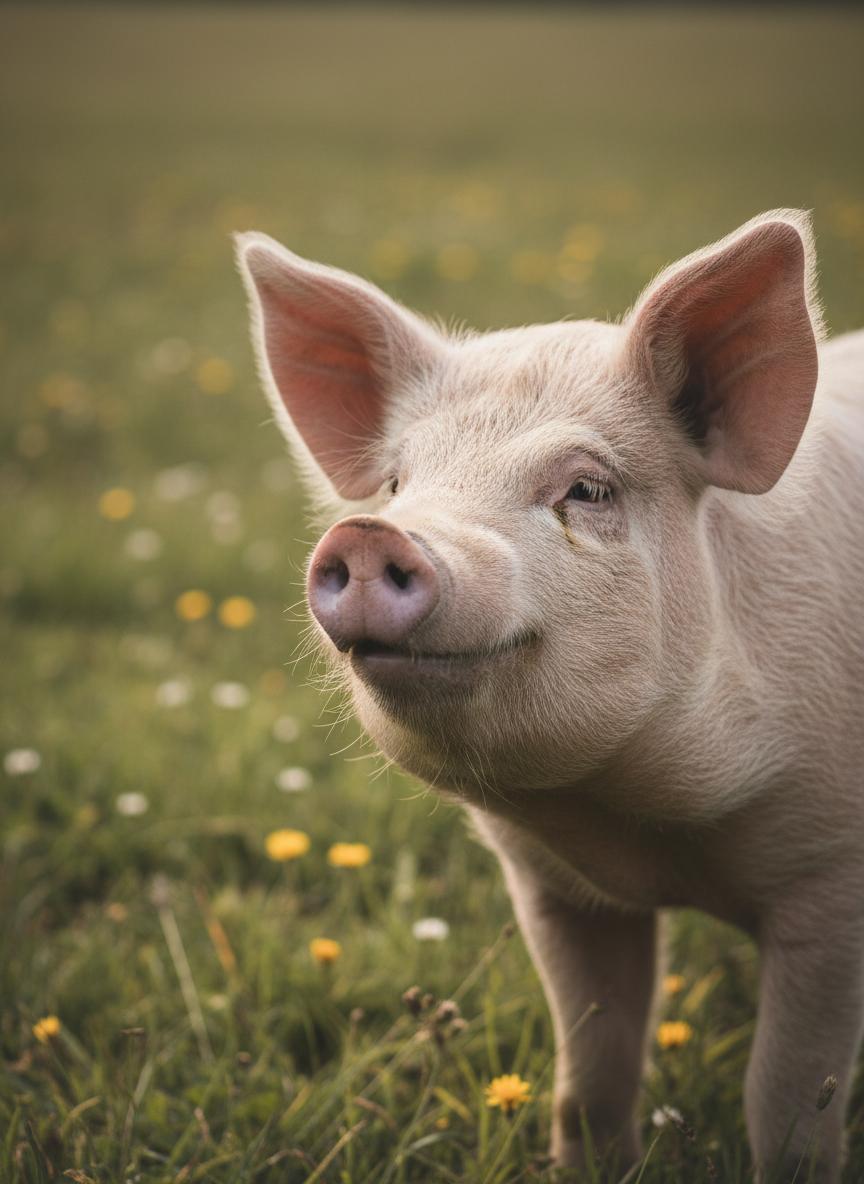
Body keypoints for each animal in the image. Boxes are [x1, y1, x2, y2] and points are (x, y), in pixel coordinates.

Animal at [236, 210, 864, 1182]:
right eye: (396, 483)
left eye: (588, 488)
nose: (371, 534)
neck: (645, 827)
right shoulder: (554, 889)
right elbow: (591, 1069)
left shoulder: (830, 879)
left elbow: (789, 1105)